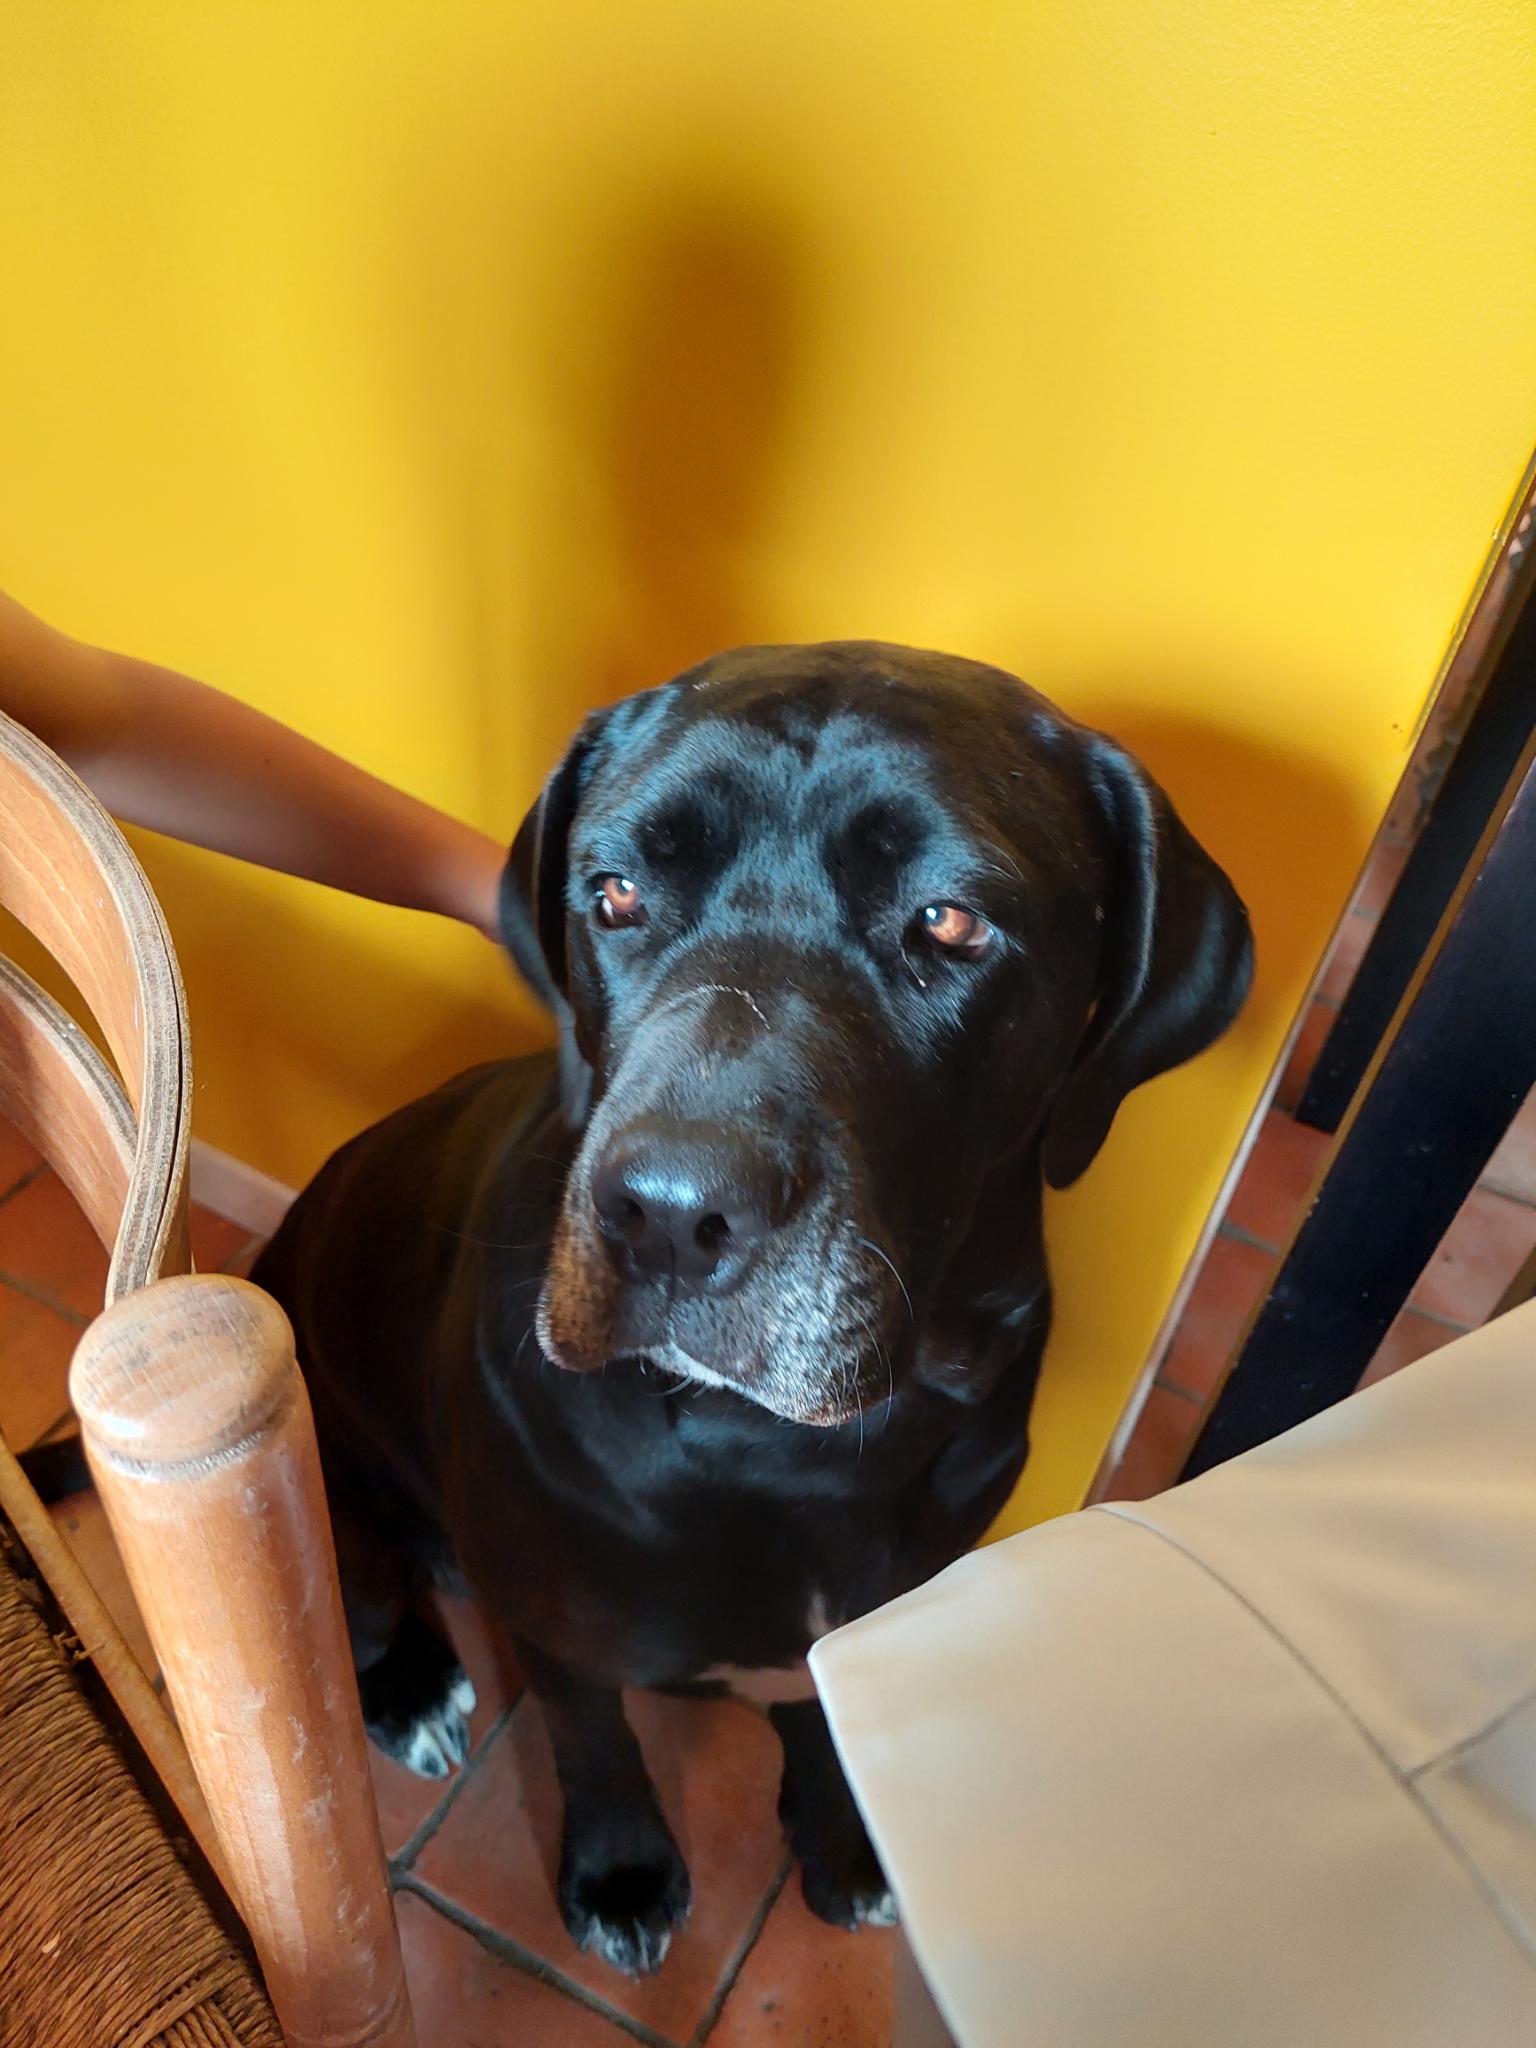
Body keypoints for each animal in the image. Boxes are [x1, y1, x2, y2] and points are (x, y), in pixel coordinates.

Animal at [252, 640, 1252, 1976]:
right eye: (617, 892)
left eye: (949, 918)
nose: (667, 1215)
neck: (778, 1449)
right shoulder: (564, 1627)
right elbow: (594, 1740)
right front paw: (623, 1867)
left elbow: (827, 1724)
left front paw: (840, 1831)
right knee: (353, 1587)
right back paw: (408, 1680)